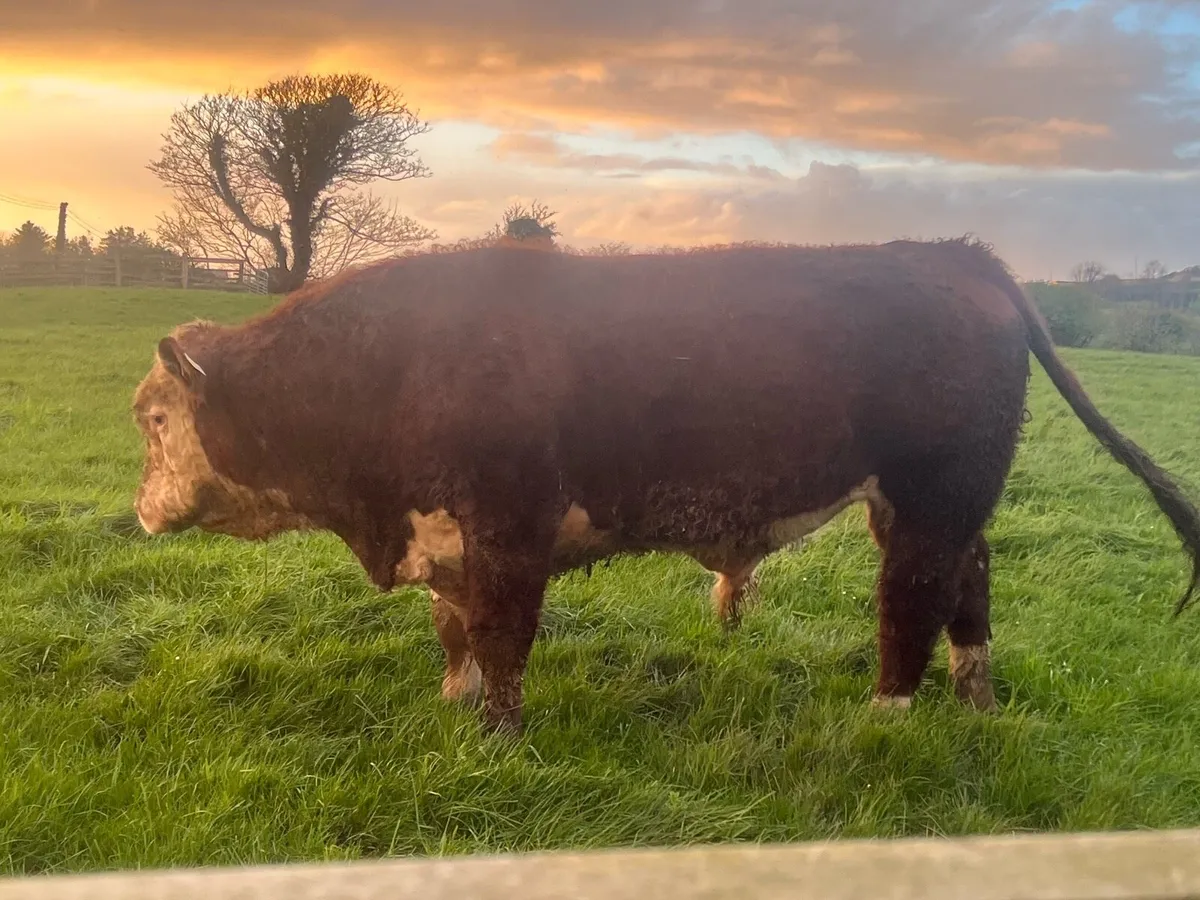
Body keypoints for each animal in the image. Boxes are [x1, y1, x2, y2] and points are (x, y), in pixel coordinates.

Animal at [131, 237, 1200, 735]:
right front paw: (451, 702)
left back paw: (886, 719)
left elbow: (502, 634)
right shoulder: (449, 534)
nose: (138, 509)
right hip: (939, 503)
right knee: (968, 585)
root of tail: (955, 254)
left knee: (912, 601)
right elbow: (454, 630)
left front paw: (497, 735)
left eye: (151, 421)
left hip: (930, 496)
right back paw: (974, 702)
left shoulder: (511, 525)